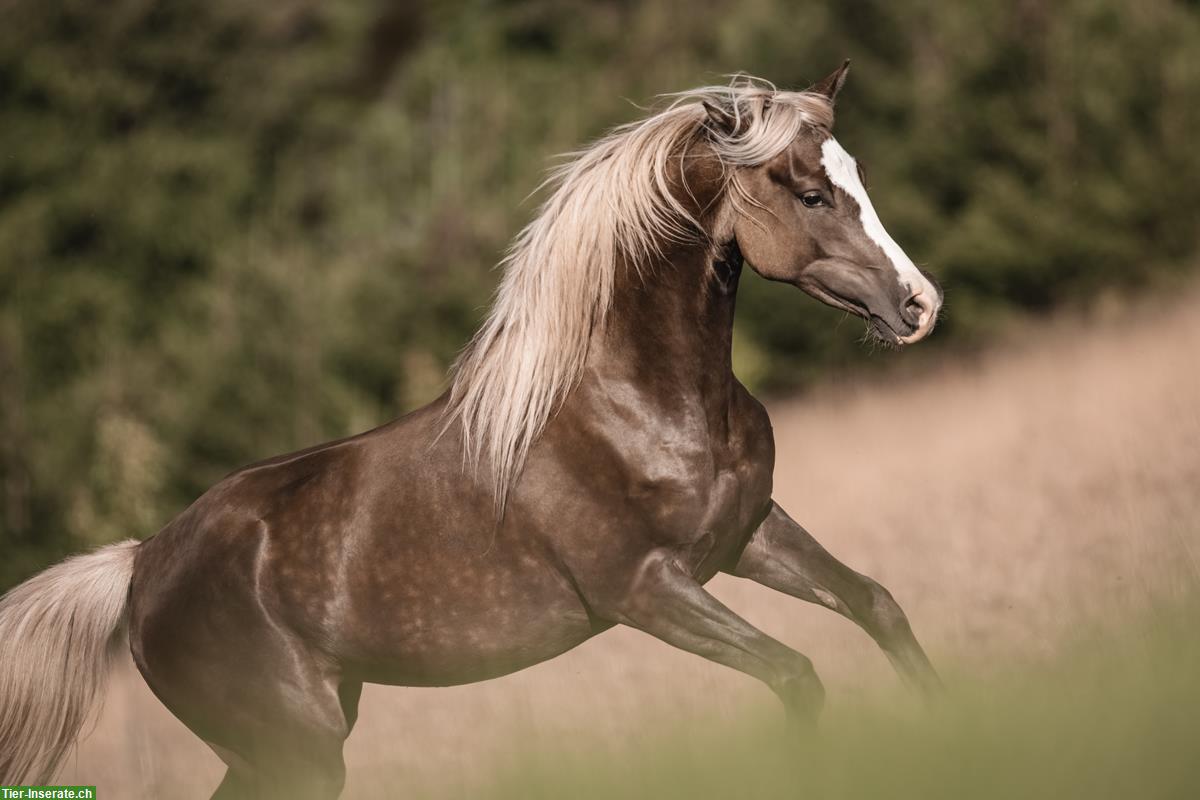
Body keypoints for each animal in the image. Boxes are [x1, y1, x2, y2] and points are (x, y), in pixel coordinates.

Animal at [0, 64, 940, 800]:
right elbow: (798, 678)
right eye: (810, 192)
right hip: (296, 749)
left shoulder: (747, 537)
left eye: (856, 175)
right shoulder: (648, 593)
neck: (638, 407)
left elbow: (878, 605)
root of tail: (138, 565)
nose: (919, 305)